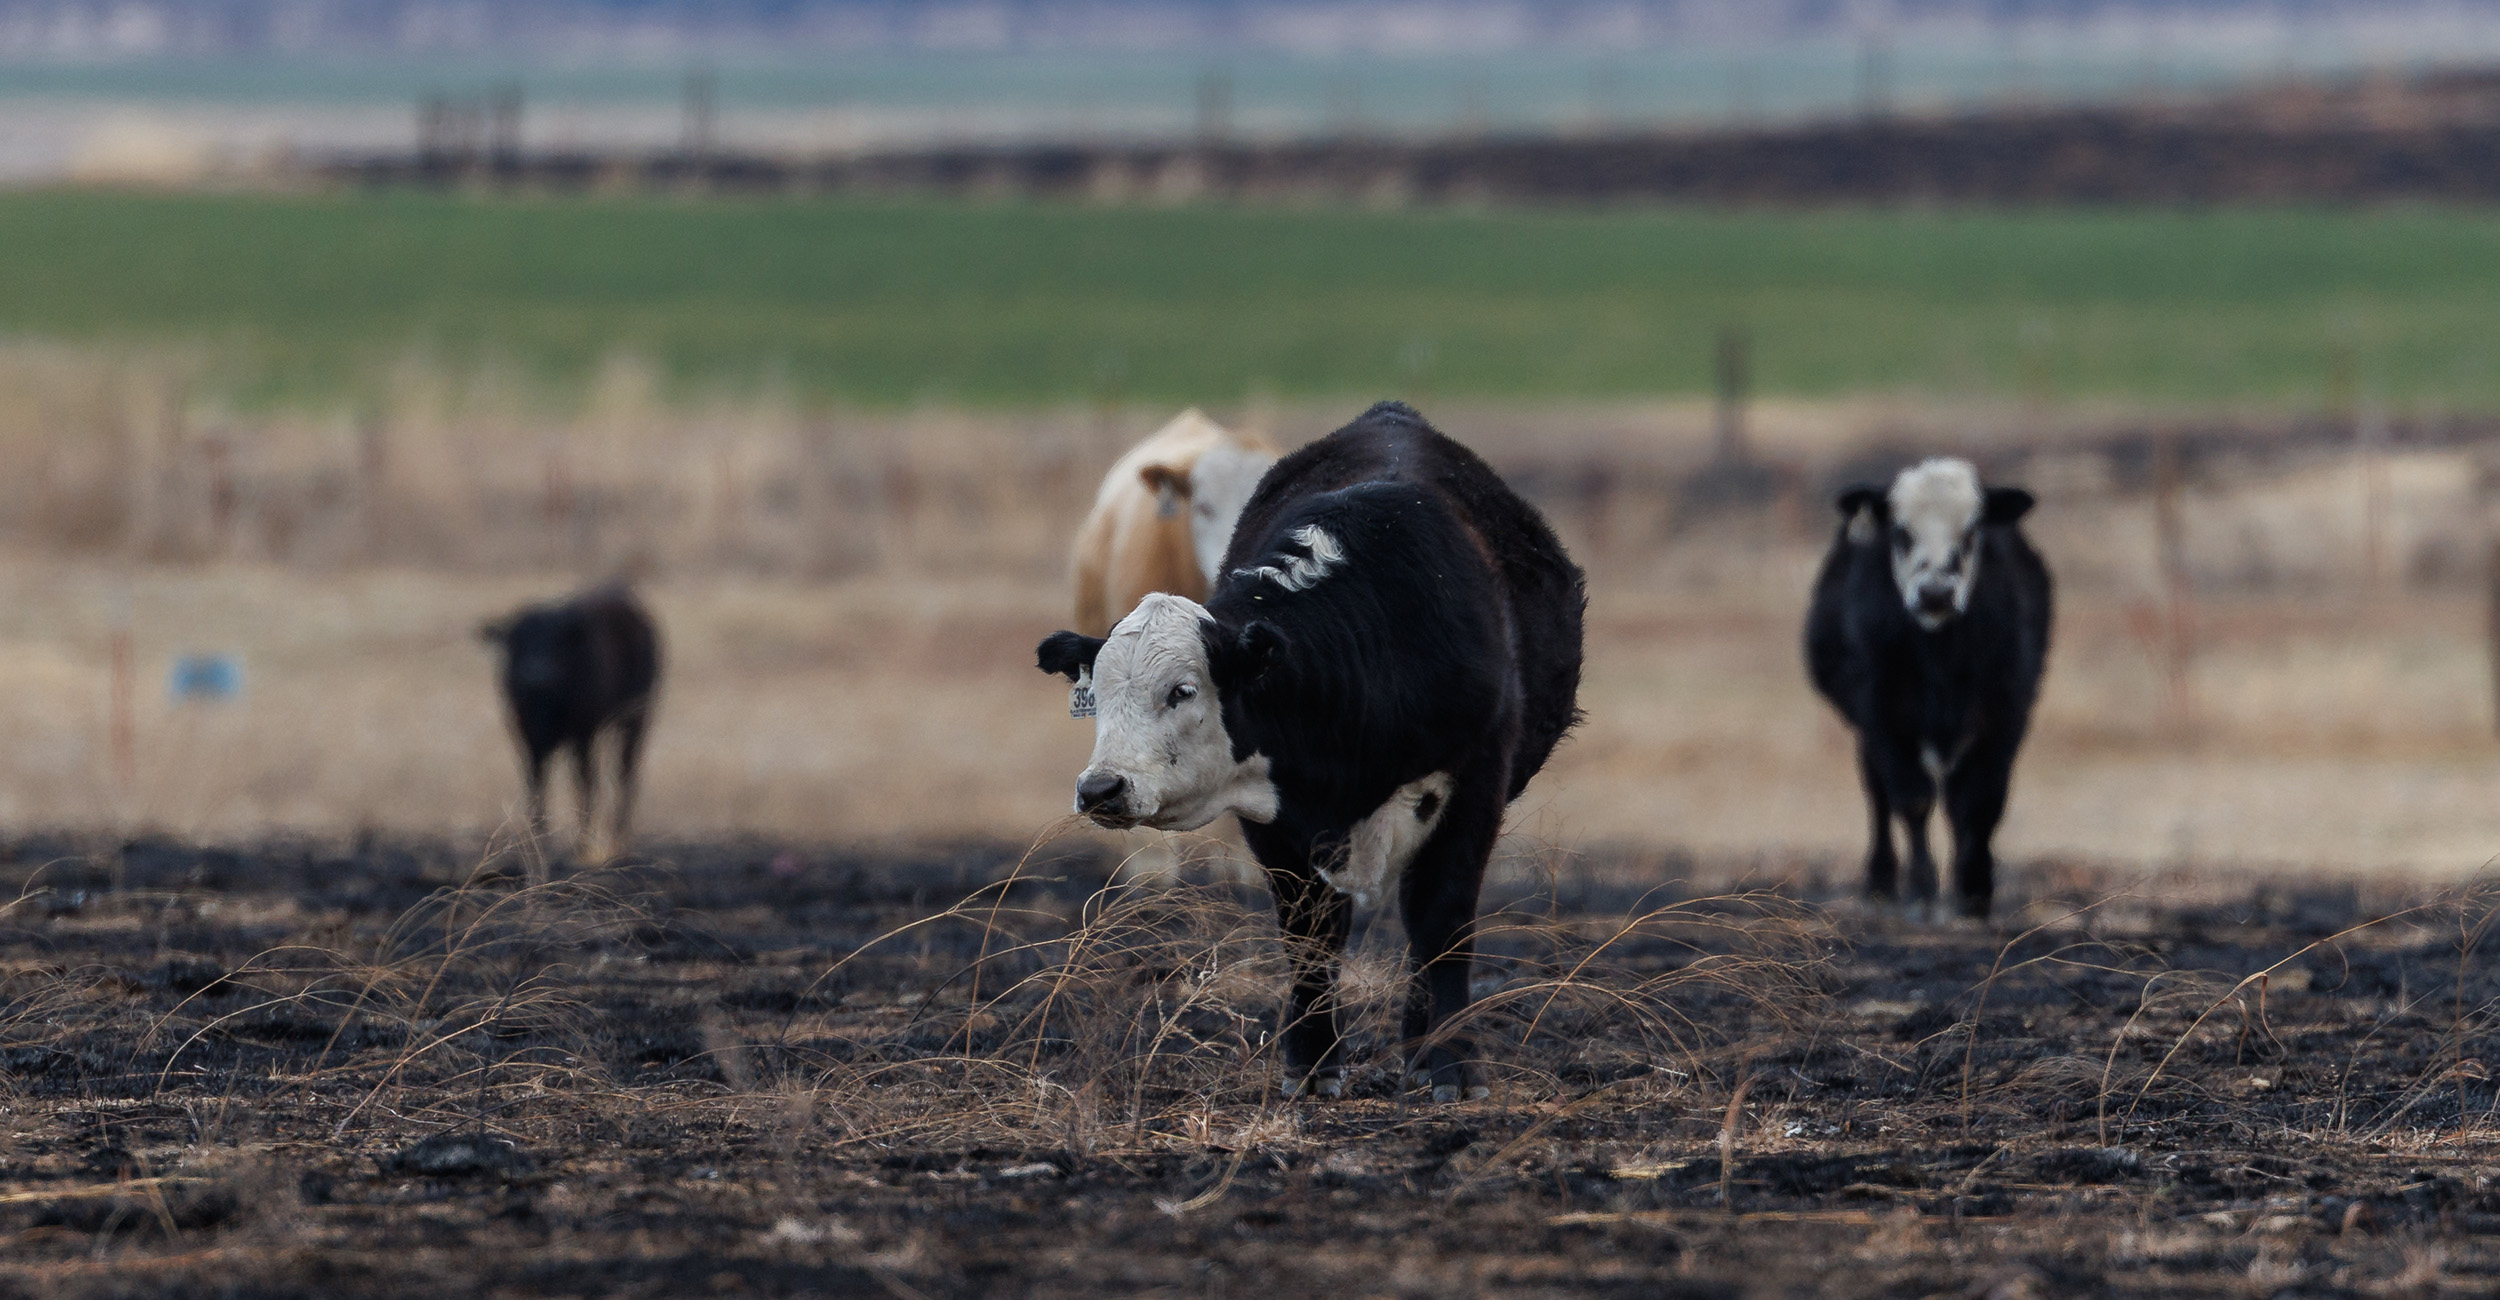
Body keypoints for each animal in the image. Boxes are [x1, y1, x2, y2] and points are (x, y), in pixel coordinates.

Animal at [480, 581, 662, 863]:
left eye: (555, 641)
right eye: (515, 640)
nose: (536, 674)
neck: (545, 704)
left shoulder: (582, 734)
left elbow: (583, 783)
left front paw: (581, 842)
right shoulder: (526, 736)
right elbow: (536, 781)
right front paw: (539, 836)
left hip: (635, 721)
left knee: (623, 774)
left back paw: (617, 838)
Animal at [1805, 457, 2052, 920]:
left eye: (1971, 532)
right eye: (1902, 532)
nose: (1936, 592)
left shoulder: (2005, 711)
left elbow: (1980, 800)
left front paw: (1975, 890)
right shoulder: (1882, 712)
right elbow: (1912, 798)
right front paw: (1922, 889)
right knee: (1880, 795)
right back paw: (1881, 883)